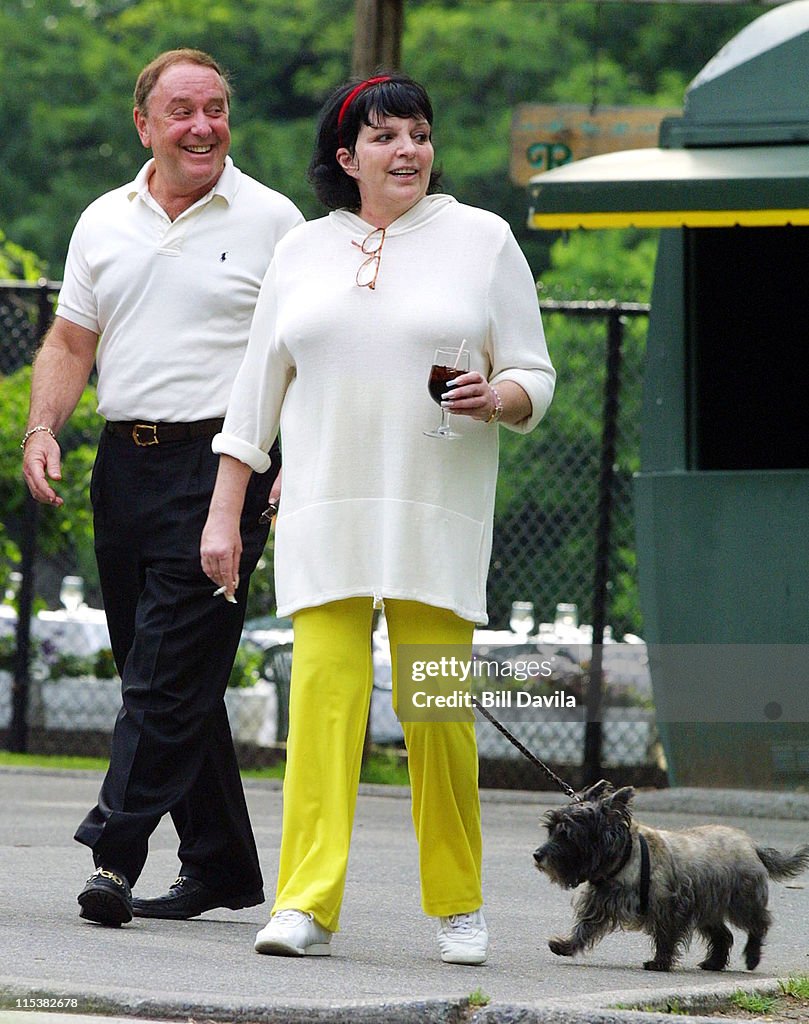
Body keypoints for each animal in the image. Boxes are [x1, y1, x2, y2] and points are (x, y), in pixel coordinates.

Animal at [532, 778, 809, 970]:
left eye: (567, 835)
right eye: (551, 830)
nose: (537, 855)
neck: (626, 857)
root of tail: (752, 845)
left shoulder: (669, 907)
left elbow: (665, 936)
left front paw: (660, 963)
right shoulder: (600, 903)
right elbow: (584, 927)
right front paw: (565, 945)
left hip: (742, 902)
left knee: (759, 923)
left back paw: (752, 957)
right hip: (709, 909)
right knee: (724, 935)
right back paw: (714, 963)